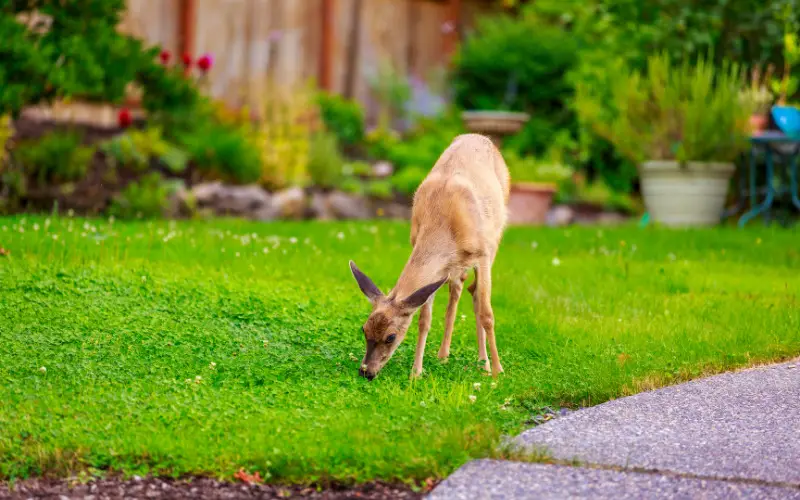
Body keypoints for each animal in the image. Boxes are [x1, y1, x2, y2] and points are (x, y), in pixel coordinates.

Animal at [346, 133, 510, 378]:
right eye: (364, 329)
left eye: (390, 337)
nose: (366, 372)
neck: (443, 223)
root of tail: (479, 136)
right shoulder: (435, 264)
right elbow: (424, 319)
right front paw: (416, 371)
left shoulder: (482, 254)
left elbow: (487, 314)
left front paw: (498, 371)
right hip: (456, 268)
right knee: (458, 291)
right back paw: (444, 354)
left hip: (495, 238)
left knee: (475, 296)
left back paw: (485, 363)